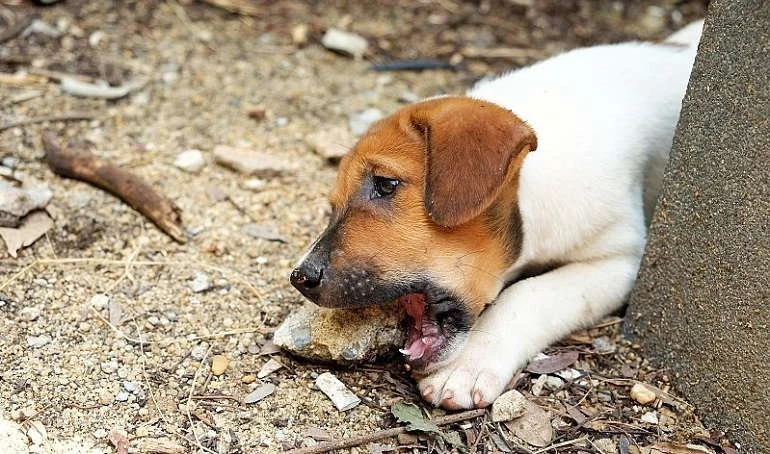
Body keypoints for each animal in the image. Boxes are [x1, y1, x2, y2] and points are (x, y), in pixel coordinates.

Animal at [288, 21, 704, 410]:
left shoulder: (620, 258)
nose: (299, 277)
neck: (532, 187)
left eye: (386, 184)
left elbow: (526, 294)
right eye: (332, 206)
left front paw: (468, 364)